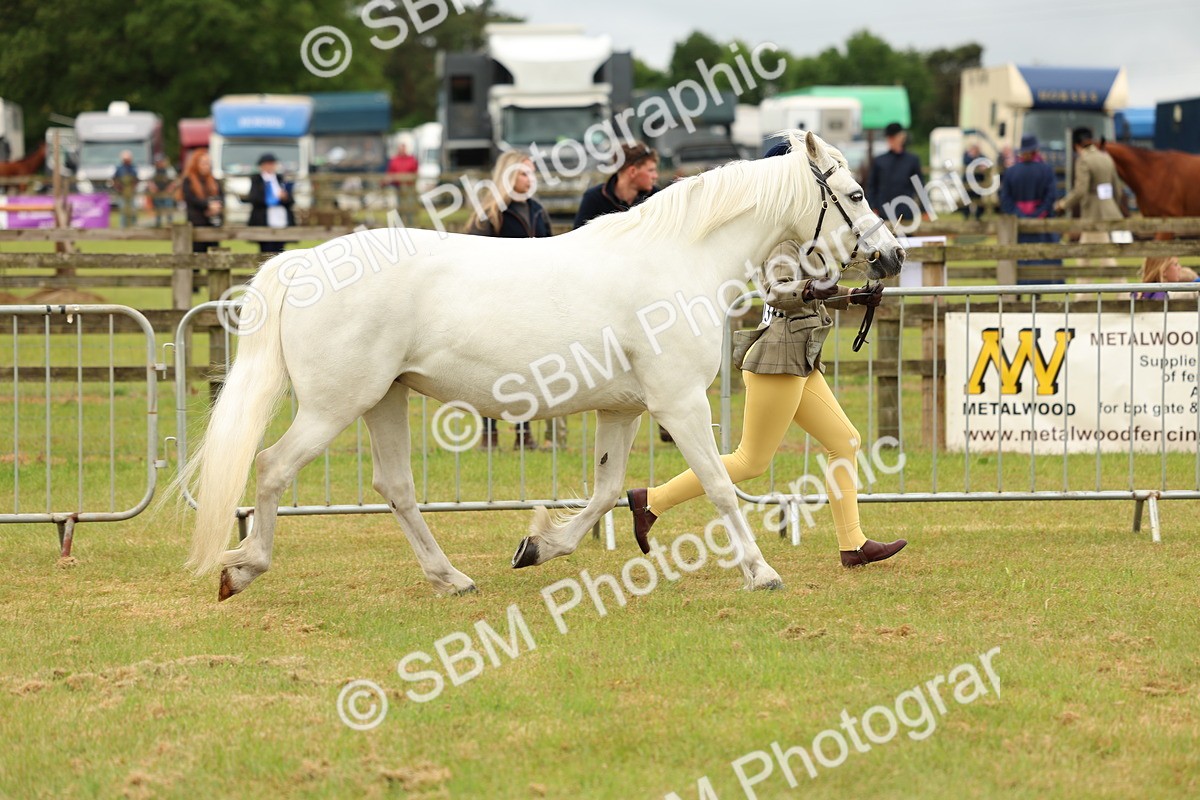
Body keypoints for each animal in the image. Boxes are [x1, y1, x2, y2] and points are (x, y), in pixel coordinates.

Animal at [179, 130, 906, 601]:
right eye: (855, 192)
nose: (893, 256)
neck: (678, 259)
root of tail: (304, 261)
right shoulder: (679, 404)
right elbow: (722, 485)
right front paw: (761, 573)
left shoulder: (622, 410)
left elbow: (609, 492)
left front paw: (539, 547)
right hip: (336, 406)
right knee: (272, 467)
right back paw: (241, 569)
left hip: (384, 399)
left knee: (397, 488)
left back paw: (451, 579)